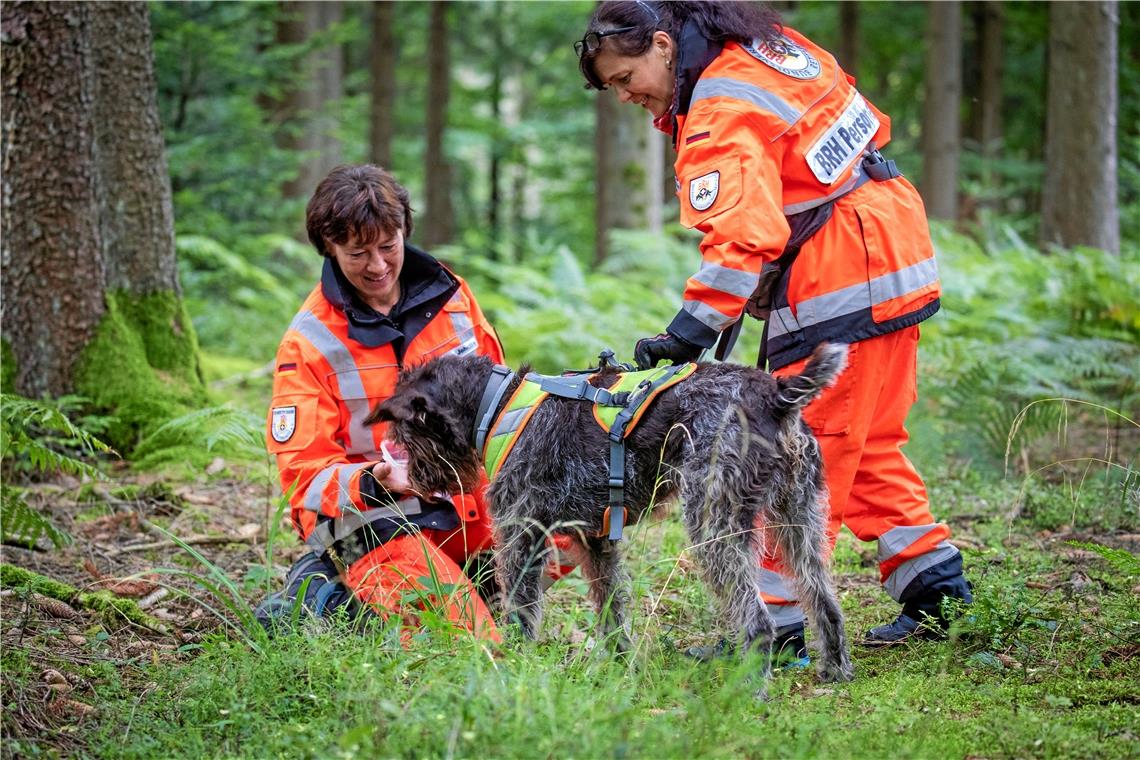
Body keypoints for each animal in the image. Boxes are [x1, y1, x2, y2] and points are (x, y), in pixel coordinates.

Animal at [369, 344, 852, 683]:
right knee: (822, 599)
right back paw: (835, 670)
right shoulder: (595, 540)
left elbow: (522, 609)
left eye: (406, 429)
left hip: (713, 523)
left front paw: (514, 660)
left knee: (758, 622)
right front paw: (620, 666)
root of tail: (776, 393)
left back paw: (749, 689)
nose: (413, 474)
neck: (498, 402)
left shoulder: (522, 533)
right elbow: (611, 610)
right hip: (799, 518)